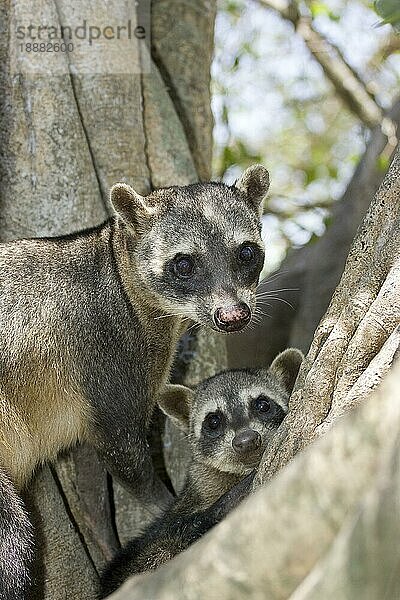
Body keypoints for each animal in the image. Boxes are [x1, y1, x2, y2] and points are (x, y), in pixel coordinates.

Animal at [0, 165, 270, 600]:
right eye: (183, 264)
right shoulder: (106, 352)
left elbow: (90, 477)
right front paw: (167, 506)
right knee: (12, 537)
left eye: (246, 252)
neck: (117, 262)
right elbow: (124, 453)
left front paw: (102, 539)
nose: (233, 316)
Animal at [100, 346, 304, 596]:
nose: (246, 440)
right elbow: (174, 534)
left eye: (263, 405)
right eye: (213, 421)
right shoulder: (186, 508)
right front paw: (231, 499)